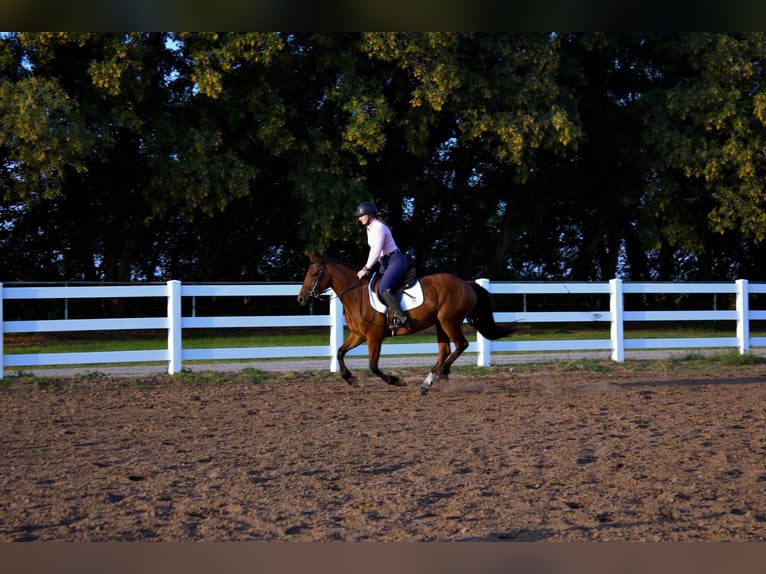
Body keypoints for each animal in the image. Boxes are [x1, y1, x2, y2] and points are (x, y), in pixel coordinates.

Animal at [296, 253, 520, 394]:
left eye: (314, 274)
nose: (301, 299)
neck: (356, 293)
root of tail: (466, 284)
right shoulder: (358, 335)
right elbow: (340, 352)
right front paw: (350, 379)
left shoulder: (374, 337)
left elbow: (373, 366)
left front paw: (396, 380)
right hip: (440, 323)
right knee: (445, 350)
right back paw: (427, 382)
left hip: (449, 321)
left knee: (461, 345)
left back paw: (440, 375)